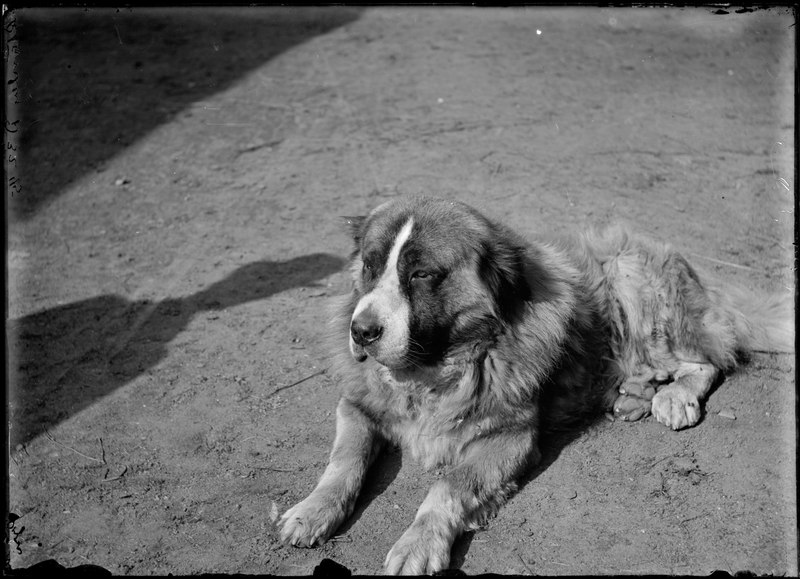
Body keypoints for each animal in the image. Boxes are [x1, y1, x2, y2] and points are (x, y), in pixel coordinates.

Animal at [278, 198, 792, 576]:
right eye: (369, 265)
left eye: (422, 274)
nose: (361, 331)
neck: (438, 368)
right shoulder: (358, 406)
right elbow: (343, 461)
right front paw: (311, 510)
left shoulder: (510, 436)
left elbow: (449, 484)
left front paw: (418, 542)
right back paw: (631, 396)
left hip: (632, 275)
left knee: (708, 359)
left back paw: (674, 397)